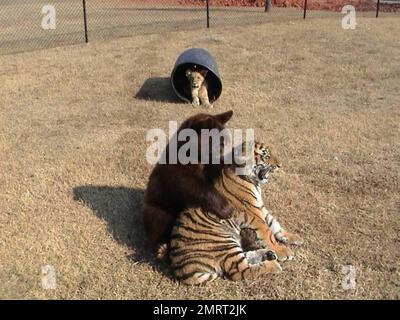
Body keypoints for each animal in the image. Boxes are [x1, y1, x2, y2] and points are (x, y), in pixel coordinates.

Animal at [169, 141, 304, 286]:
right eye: (265, 155)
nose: (279, 165)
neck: (254, 182)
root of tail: (180, 269)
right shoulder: (255, 214)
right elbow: (268, 234)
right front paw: (282, 251)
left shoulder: (261, 208)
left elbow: (275, 224)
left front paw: (293, 237)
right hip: (223, 242)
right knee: (241, 271)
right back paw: (273, 264)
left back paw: (269, 254)